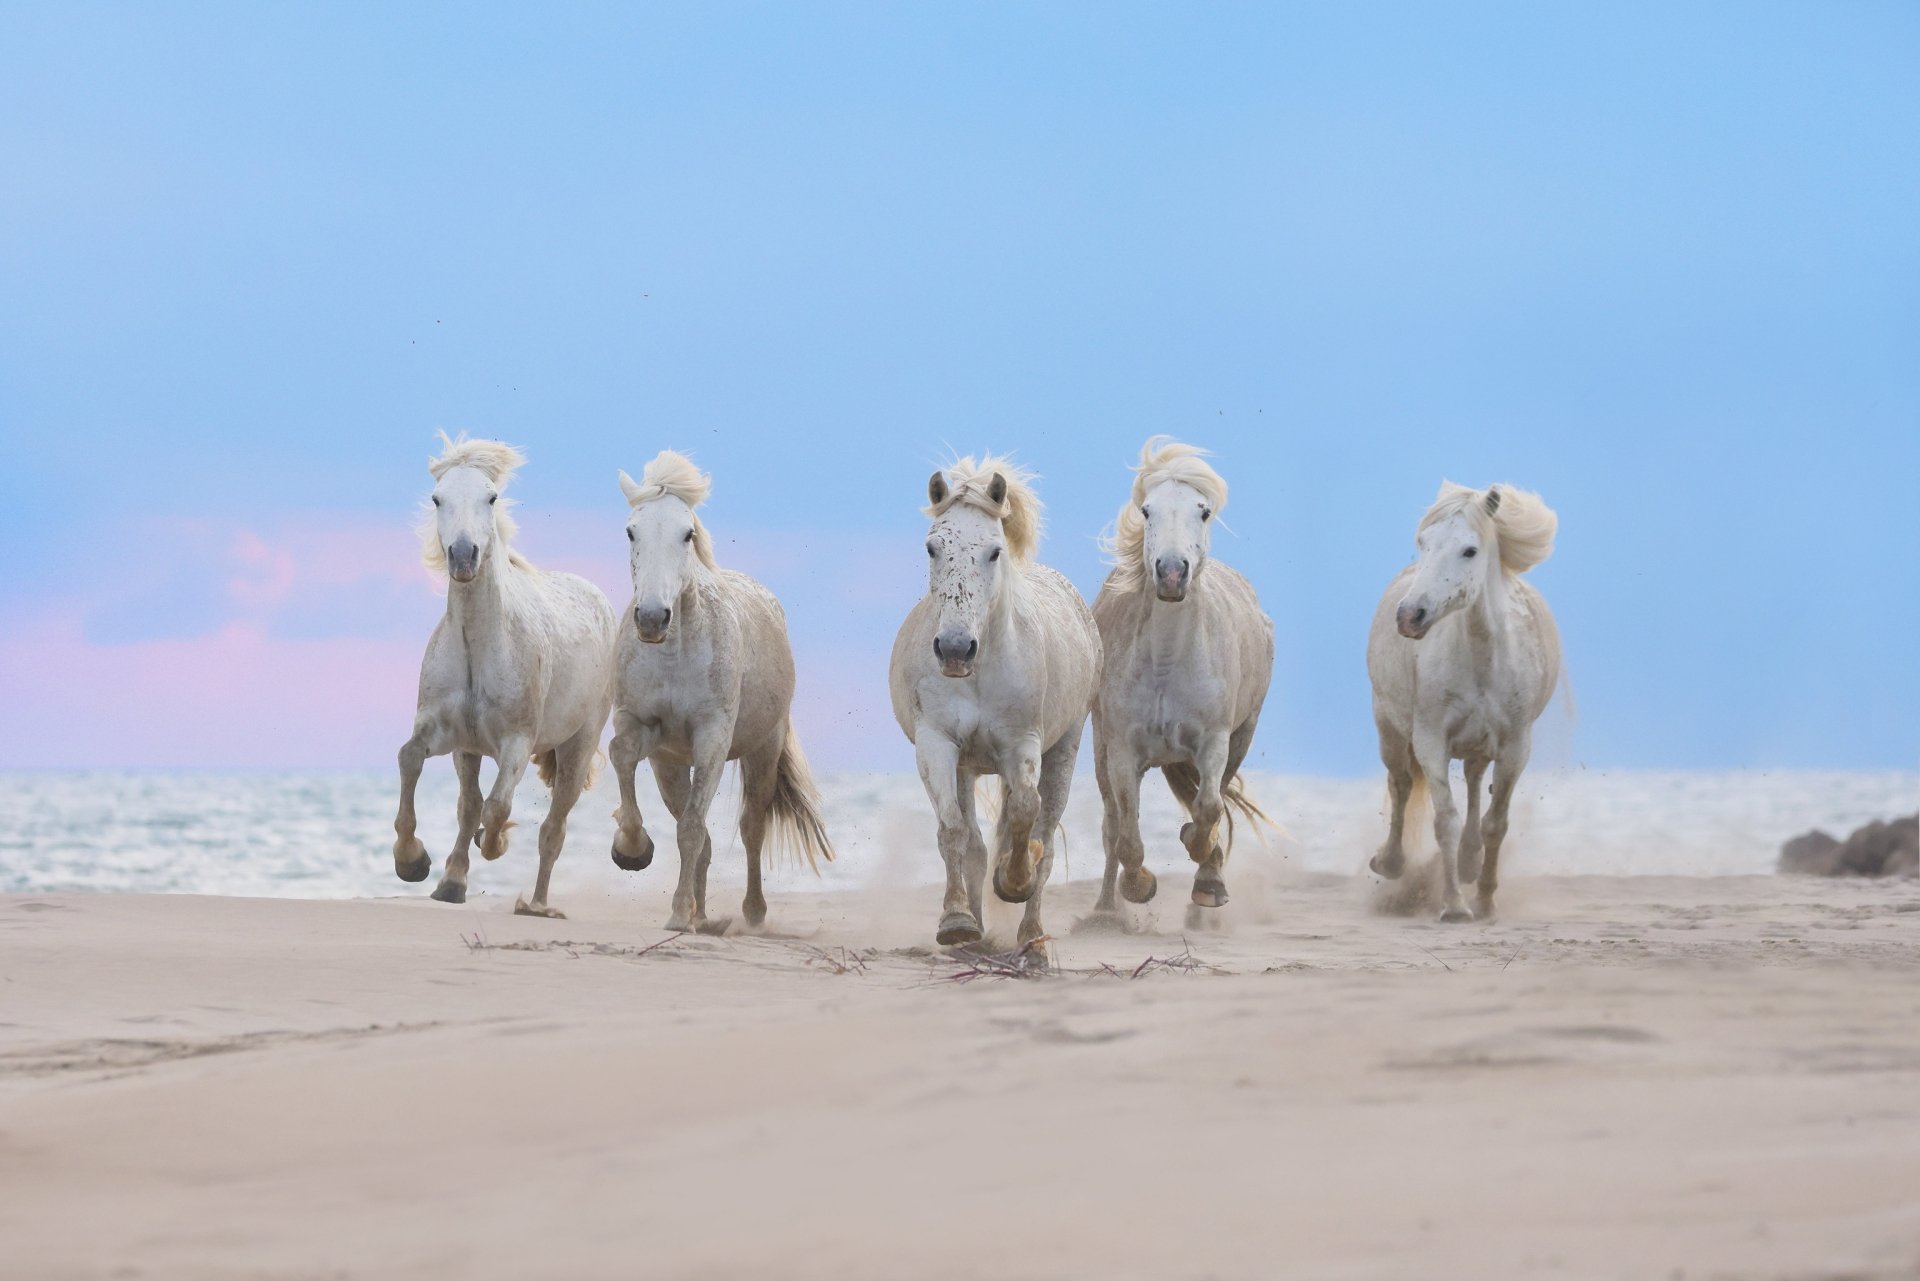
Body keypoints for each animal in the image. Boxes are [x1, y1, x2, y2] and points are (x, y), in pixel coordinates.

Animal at [391, 433, 617, 918]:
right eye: (437, 498)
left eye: (491, 497)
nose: (462, 556)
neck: (479, 645)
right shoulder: (448, 734)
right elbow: (413, 761)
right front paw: (414, 862)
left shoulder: (516, 742)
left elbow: (497, 808)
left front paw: (493, 844)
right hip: (471, 751)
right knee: (469, 805)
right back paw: (453, 881)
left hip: (577, 746)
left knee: (553, 827)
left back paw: (536, 903)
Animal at [606, 450, 835, 934]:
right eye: (632, 530)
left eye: (687, 533)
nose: (651, 618)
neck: (675, 652)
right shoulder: (641, 726)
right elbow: (622, 757)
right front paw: (632, 850)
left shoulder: (712, 737)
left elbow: (694, 828)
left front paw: (677, 915)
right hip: (671, 765)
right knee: (705, 838)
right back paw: (702, 912)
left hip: (763, 749)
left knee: (751, 829)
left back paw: (751, 913)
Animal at [888, 456, 1102, 955]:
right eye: (933, 547)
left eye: (993, 551)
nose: (954, 650)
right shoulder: (937, 744)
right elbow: (954, 832)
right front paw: (956, 922)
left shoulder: (1021, 744)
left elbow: (1026, 809)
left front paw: (1013, 882)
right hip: (967, 766)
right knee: (976, 844)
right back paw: (976, 934)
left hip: (1064, 748)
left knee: (1044, 838)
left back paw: (1033, 940)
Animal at [1088, 437, 1274, 924]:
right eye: (1147, 510)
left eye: (1203, 511)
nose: (1172, 572)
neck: (1167, 663)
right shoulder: (1122, 751)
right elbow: (1127, 834)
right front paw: (1138, 887)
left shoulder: (1215, 742)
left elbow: (1208, 807)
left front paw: (1206, 873)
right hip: (1098, 746)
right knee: (1111, 823)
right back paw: (1104, 910)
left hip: (1242, 736)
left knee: (1216, 798)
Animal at [1366, 481, 1562, 922]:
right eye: (1423, 542)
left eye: (1469, 550)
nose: (1409, 616)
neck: (1482, 655)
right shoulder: (1430, 741)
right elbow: (1446, 822)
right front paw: (1454, 905)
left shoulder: (1514, 747)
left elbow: (1495, 823)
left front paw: (1485, 900)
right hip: (1389, 727)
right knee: (1401, 784)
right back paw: (1391, 862)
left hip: (1479, 747)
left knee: (1474, 784)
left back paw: (1471, 863)